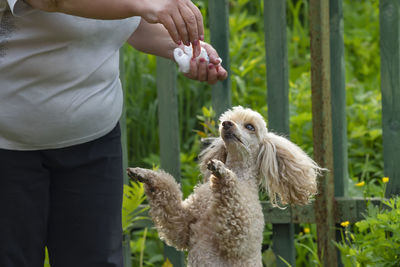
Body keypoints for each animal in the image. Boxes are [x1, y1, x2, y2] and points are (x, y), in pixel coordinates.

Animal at [128, 105, 322, 266]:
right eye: (228, 120)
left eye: (250, 127)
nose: (226, 124)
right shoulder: (181, 226)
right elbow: (169, 199)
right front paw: (145, 174)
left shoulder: (240, 234)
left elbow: (233, 204)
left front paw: (222, 172)